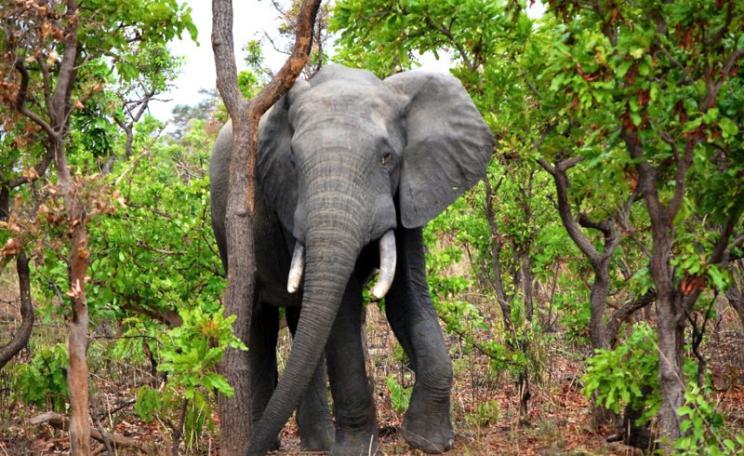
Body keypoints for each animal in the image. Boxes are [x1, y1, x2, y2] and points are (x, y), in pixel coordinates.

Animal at [210, 64, 493, 455]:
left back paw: (318, 442)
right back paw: (274, 442)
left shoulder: (407, 195)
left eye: (387, 158)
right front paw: (357, 450)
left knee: (301, 319)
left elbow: (407, 298)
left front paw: (428, 440)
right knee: (260, 320)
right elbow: (341, 312)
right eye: (294, 161)